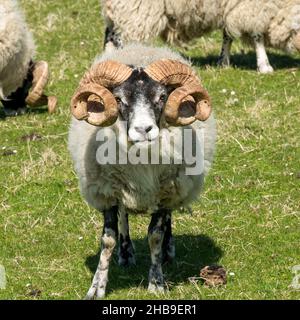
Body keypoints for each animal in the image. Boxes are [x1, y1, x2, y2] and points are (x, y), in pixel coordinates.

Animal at [69, 43, 217, 298]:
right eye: (118, 98)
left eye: (162, 96)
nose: (143, 129)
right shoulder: (107, 192)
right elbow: (107, 240)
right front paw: (97, 287)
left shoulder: (165, 193)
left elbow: (155, 236)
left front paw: (156, 282)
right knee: (124, 216)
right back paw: (126, 253)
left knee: (167, 220)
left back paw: (168, 250)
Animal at [102, 0, 300, 73]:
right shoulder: (253, 8)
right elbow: (257, 36)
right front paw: (265, 66)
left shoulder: (229, 8)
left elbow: (227, 36)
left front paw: (223, 62)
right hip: (136, 11)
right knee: (122, 40)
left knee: (110, 38)